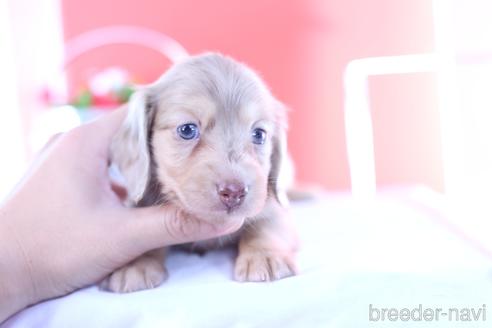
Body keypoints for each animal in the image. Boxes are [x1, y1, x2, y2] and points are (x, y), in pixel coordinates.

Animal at [102, 53, 298, 292]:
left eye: (259, 134)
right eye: (187, 130)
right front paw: (136, 263)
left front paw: (266, 256)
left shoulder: (273, 206)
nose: (234, 192)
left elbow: (266, 225)